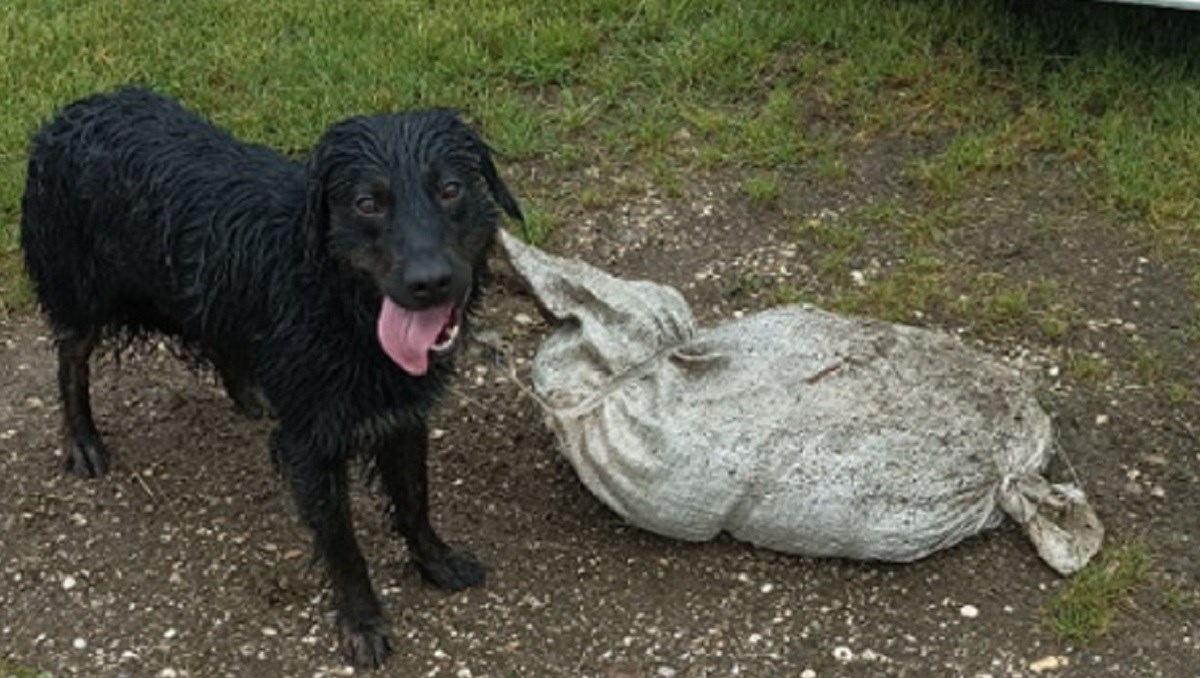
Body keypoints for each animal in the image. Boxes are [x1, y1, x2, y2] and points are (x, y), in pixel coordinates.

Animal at [17, 85, 516, 667]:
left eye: (451, 190)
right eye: (367, 203)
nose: (430, 282)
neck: (339, 303)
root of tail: (72, 112)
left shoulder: (401, 416)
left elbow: (414, 500)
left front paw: (435, 561)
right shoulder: (312, 445)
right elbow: (343, 546)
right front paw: (362, 623)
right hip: (80, 287)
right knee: (70, 360)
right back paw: (82, 440)